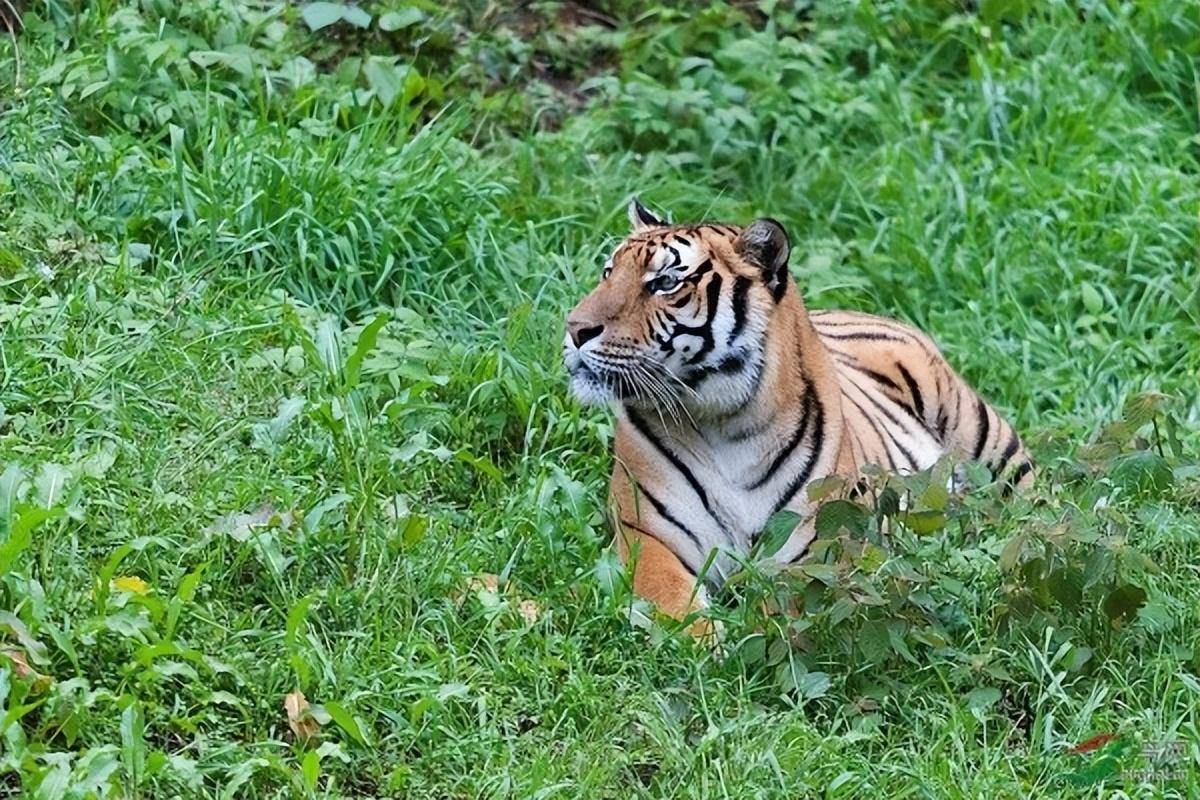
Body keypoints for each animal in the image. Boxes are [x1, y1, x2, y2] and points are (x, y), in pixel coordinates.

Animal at [561, 199, 1032, 623]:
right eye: (608, 273)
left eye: (664, 283)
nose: (574, 328)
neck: (723, 423)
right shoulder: (648, 537)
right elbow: (674, 608)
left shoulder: (822, 544)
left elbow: (784, 617)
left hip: (978, 430)